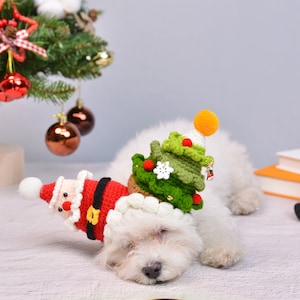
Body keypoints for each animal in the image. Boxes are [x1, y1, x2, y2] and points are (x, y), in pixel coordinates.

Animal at [96, 118, 262, 284]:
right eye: (128, 244)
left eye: (162, 230)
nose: (151, 270)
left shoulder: (209, 209)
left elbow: (218, 228)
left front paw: (220, 251)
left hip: (236, 169)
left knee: (250, 185)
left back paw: (245, 201)